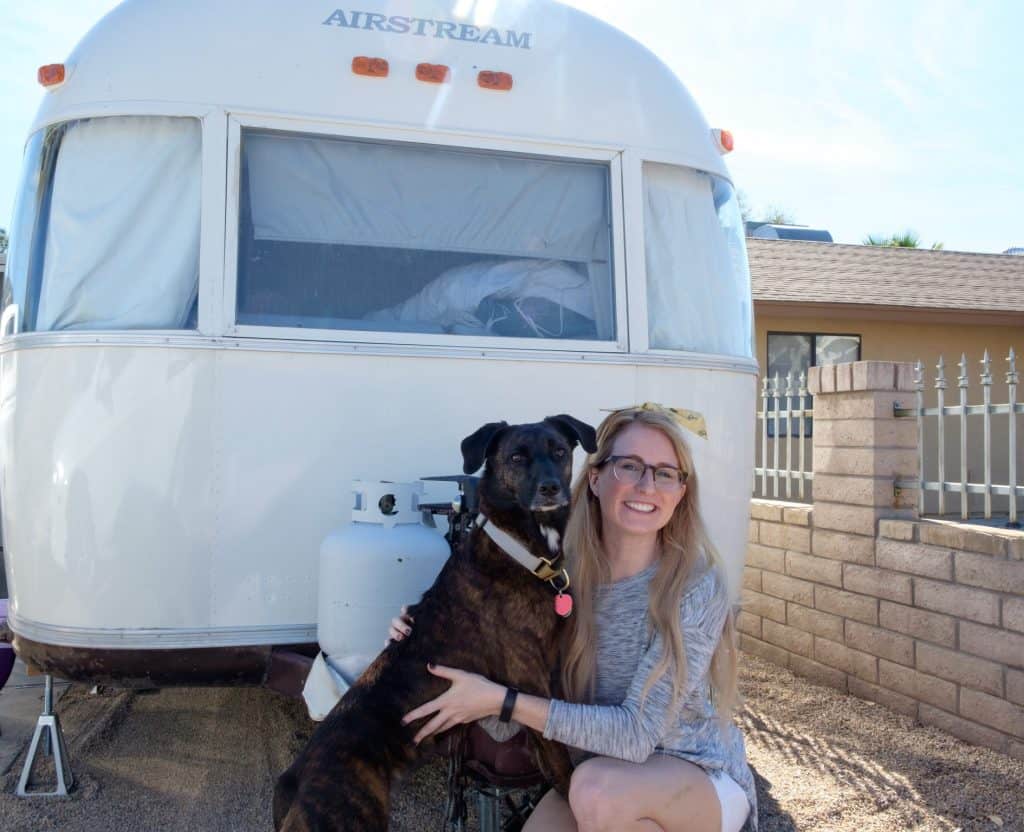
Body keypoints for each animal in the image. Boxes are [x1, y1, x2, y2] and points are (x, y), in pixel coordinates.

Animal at [272, 416, 598, 832]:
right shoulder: (531, 681)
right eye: (517, 456)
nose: (551, 488)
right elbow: (562, 768)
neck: (520, 550)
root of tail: (294, 782)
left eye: (559, 451)